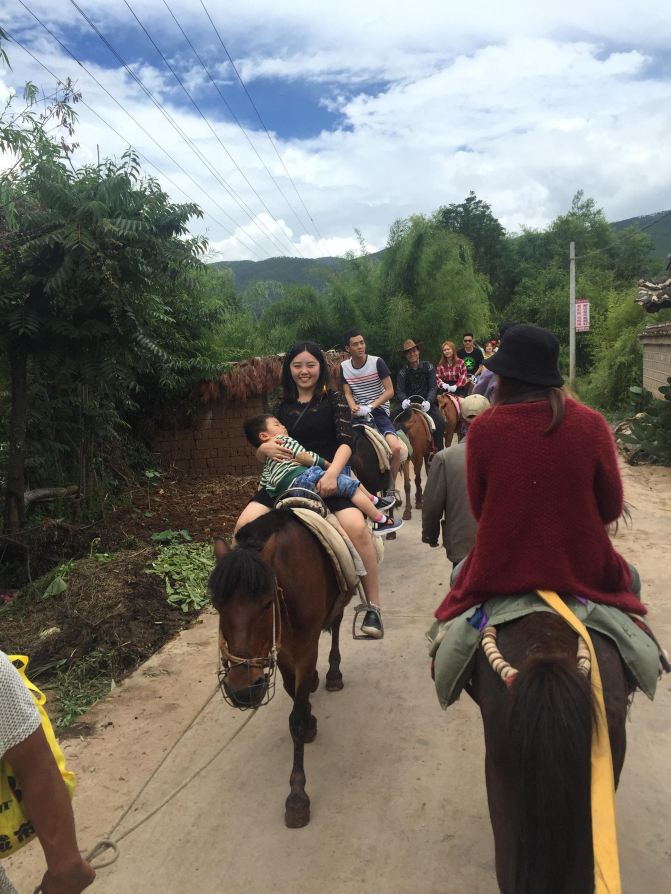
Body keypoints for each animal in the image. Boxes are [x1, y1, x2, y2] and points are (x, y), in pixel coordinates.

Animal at [213, 512, 352, 832]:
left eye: (266, 604)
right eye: (217, 606)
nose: (243, 690)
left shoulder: (305, 650)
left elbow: (296, 719)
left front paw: (297, 797)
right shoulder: (285, 651)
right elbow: (292, 693)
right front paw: (311, 717)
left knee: (337, 623)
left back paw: (333, 674)